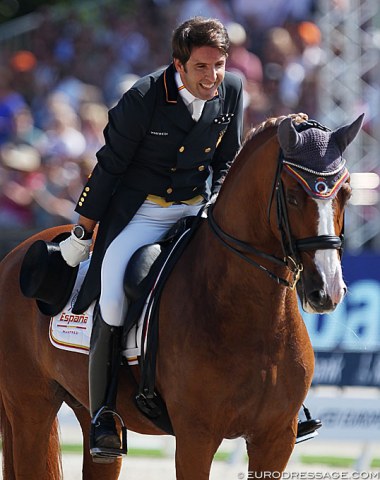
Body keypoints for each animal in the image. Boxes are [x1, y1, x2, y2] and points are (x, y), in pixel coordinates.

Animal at [0, 111, 362, 476]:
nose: (327, 290)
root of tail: (14, 255)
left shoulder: (275, 439)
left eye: (346, 193)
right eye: (292, 196)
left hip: (84, 410)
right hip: (31, 407)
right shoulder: (195, 437)